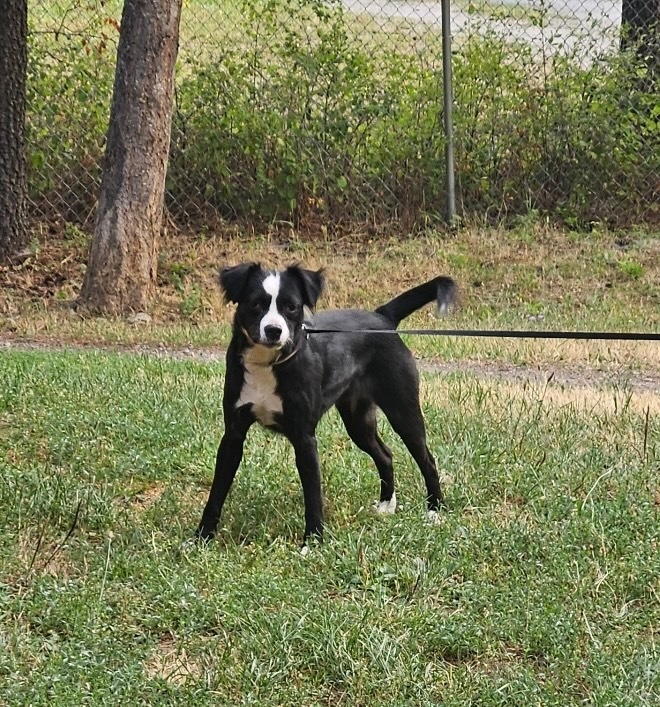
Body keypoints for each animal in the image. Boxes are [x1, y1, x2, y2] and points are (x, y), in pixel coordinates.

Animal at [196, 262, 454, 544]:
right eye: (256, 304)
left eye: (292, 307)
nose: (274, 330)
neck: (268, 364)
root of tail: (382, 318)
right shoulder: (233, 435)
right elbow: (216, 493)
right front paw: (201, 537)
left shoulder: (304, 439)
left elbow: (313, 497)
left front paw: (312, 541)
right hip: (358, 420)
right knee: (385, 455)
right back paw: (387, 505)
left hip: (403, 411)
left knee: (427, 459)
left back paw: (435, 511)